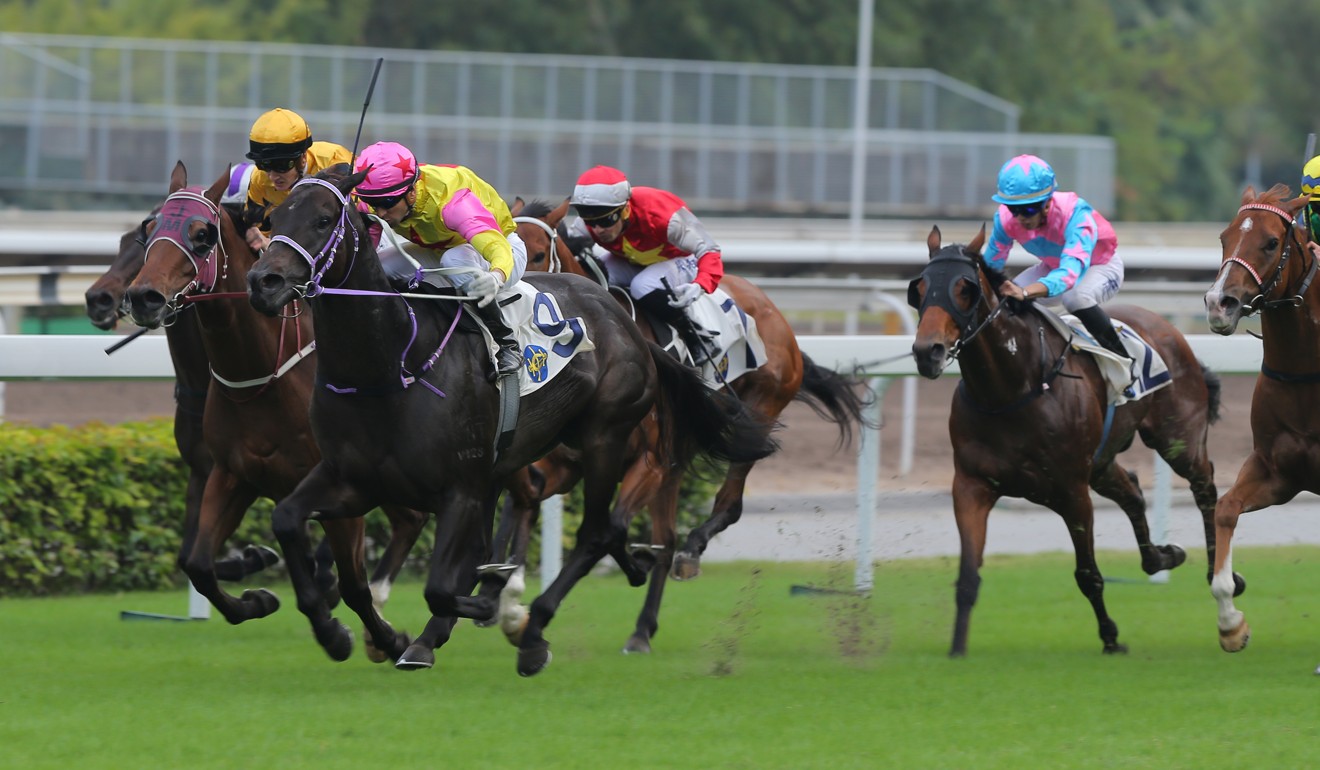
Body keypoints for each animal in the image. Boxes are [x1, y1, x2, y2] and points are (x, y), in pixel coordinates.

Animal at [123, 162, 429, 663]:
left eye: (202, 234)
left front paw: (369, 636)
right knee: (410, 519)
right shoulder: (233, 473)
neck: (260, 373)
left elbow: (351, 584)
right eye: (150, 229)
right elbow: (197, 563)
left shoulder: (335, 482)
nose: (144, 296)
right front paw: (260, 599)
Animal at [245, 167, 779, 675]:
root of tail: (626, 321)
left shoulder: (459, 488)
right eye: (273, 219)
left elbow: (442, 585)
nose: (262, 282)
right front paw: (344, 633)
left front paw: (492, 606)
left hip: (605, 437)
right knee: (602, 532)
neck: (388, 366)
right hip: (520, 460)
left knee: (596, 531)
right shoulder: (353, 480)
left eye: (322, 220)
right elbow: (291, 525)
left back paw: (535, 629)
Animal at [505, 197, 869, 653]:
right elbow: (535, 498)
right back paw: (642, 627)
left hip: (757, 412)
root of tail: (777, 316)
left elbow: (613, 526)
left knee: (725, 506)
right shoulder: (569, 465)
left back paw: (690, 554)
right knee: (668, 537)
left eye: (538, 255)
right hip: (680, 456)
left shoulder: (649, 462)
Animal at [910, 225, 1222, 656]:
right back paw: (1162, 557)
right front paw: (957, 649)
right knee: (1132, 492)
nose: (928, 352)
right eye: (919, 288)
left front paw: (1110, 637)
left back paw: (1219, 575)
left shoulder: (1072, 491)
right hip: (1102, 462)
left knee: (1205, 487)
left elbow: (1088, 573)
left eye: (963, 288)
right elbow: (968, 577)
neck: (1010, 389)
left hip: (1178, 439)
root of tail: (1168, 329)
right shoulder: (971, 487)